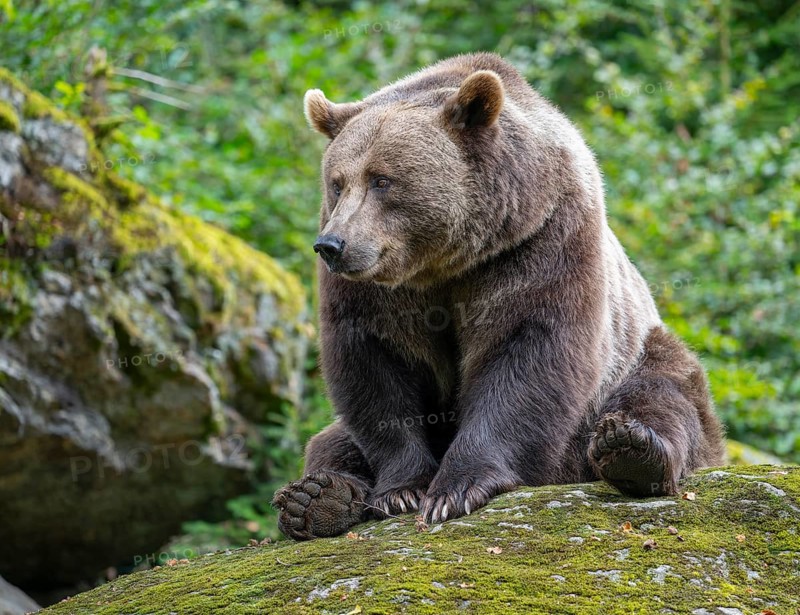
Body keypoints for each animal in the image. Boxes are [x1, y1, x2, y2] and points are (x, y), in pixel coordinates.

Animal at [272, 52, 726, 540]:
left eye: (382, 180)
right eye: (337, 182)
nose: (332, 245)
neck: (446, 261)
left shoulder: (538, 239)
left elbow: (526, 351)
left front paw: (456, 489)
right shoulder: (377, 292)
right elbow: (376, 365)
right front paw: (402, 490)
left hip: (633, 357)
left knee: (663, 397)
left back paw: (633, 450)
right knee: (330, 442)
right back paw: (316, 497)